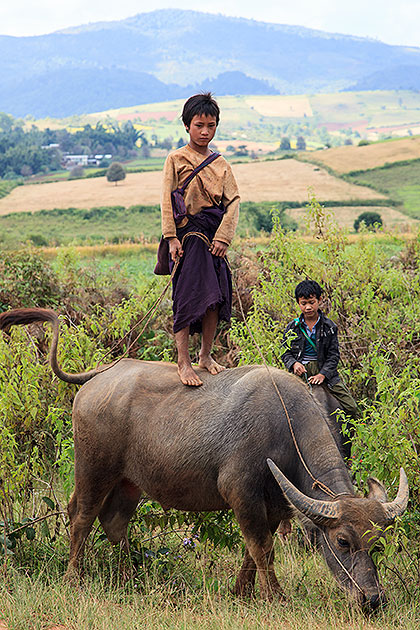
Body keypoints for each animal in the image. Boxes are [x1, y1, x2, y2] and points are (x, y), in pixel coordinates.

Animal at [0, 308, 406, 612]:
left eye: (378, 543)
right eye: (342, 541)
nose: (372, 599)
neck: (284, 425)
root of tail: (103, 374)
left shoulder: (275, 503)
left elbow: (256, 548)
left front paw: (242, 591)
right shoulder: (240, 490)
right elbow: (262, 546)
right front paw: (275, 596)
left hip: (129, 481)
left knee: (114, 521)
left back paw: (132, 578)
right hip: (94, 468)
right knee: (82, 517)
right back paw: (74, 579)